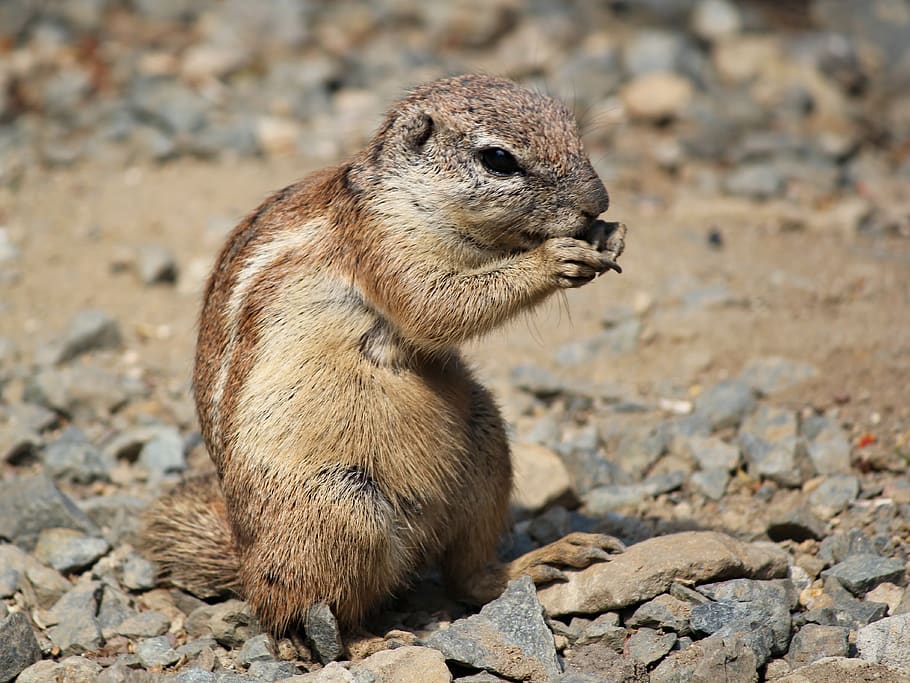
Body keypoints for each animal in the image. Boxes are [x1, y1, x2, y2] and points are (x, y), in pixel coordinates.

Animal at [143, 74, 627, 635]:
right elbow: (435, 306)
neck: (409, 196)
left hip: (487, 449)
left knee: (467, 578)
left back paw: (541, 559)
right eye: (498, 160)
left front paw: (608, 236)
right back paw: (362, 641)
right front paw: (555, 258)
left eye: (575, 130)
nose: (599, 201)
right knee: (299, 609)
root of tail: (244, 556)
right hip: (339, 510)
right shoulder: (383, 246)